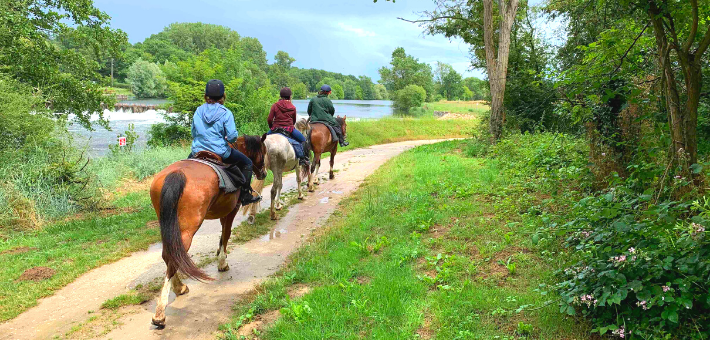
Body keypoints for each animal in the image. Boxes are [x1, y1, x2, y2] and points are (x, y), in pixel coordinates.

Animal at [147, 135, 268, 326]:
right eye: (263, 151)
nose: (263, 173)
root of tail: (176, 174)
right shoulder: (230, 212)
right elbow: (226, 235)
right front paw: (222, 263)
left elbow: (222, 236)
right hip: (187, 229)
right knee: (173, 257)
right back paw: (160, 313)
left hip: (167, 225)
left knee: (169, 254)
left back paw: (179, 287)